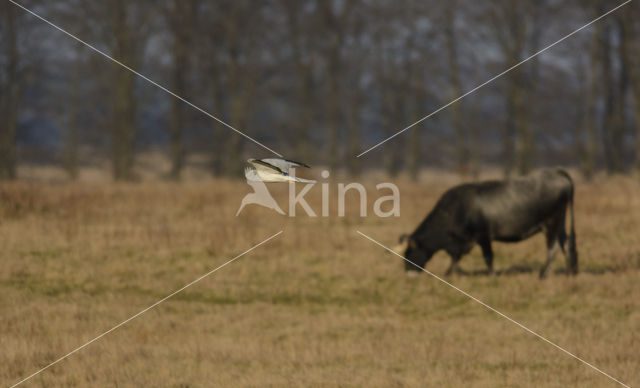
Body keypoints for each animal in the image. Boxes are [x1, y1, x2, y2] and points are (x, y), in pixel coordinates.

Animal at [392, 168, 576, 278]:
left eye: (409, 253)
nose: (408, 274)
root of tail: (557, 173)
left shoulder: (483, 236)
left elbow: (488, 257)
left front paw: (492, 275)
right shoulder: (462, 243)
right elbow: (455, 259)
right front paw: (448, 273)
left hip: (551, 223)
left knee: (553, 247)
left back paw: (543, 274)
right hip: (560, 224)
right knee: (565, 243)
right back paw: (568, 273)